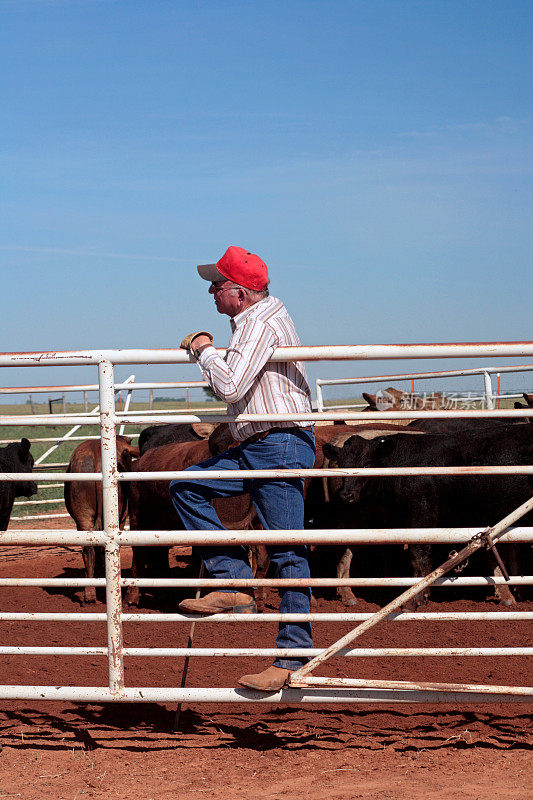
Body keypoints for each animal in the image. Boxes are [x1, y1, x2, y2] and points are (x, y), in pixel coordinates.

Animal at [324, 424, 532, 608]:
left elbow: (421, 557)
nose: (347, 495)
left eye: (368, 464)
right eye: (341, 464)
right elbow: (420, 558)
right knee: (344, 551)